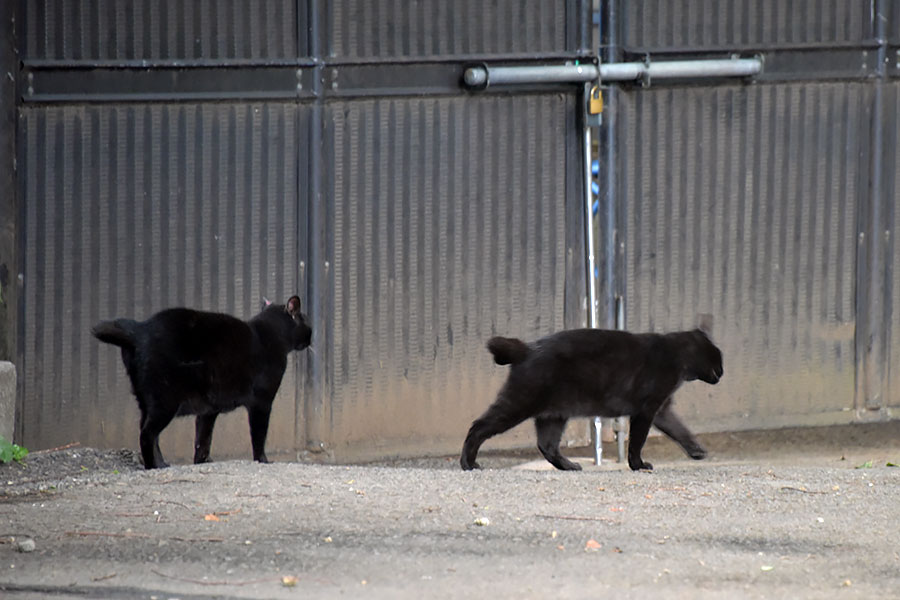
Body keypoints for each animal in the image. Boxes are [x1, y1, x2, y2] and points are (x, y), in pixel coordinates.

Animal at [91, 298, 310, 472]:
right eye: (306, 321)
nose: (311, 335)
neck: (268, 335)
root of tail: (140, 328)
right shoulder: (262, 403)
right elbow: (259, 435)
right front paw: (262, 460)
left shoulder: (209, 409)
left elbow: (203, 437)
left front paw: (202, 461)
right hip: (165, 401)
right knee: (147, 434)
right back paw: (152, 466)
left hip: (147, 402)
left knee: (150, 434)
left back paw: (161, 463)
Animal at [464, 328, 724, 474]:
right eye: (718, 359)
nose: (722, 373)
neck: (676, 354)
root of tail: (525, 349)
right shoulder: (647, 410)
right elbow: (637, 441)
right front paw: (637, 465)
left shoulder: (662, 410)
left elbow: (680, 430)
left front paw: (696, 451)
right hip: (519, 403)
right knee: (478, 427)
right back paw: (468, 464)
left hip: (553, 415)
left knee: (547, 446)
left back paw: (569, 466)